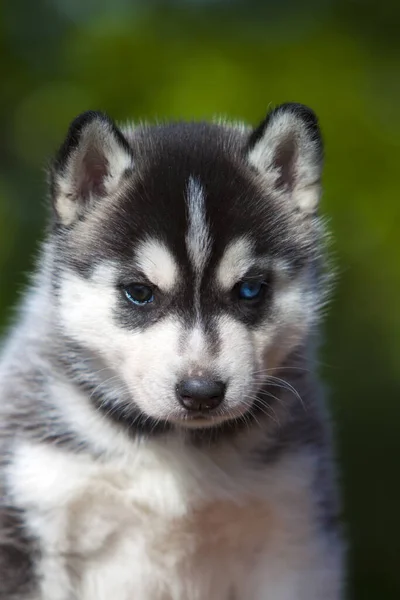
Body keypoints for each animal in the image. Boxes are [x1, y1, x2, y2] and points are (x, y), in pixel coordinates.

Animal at [0, 105, 344, 596]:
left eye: (250, 289)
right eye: (140, 293)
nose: (201, 392)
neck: (172, 445)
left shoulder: (296, 528)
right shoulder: (30, 511)